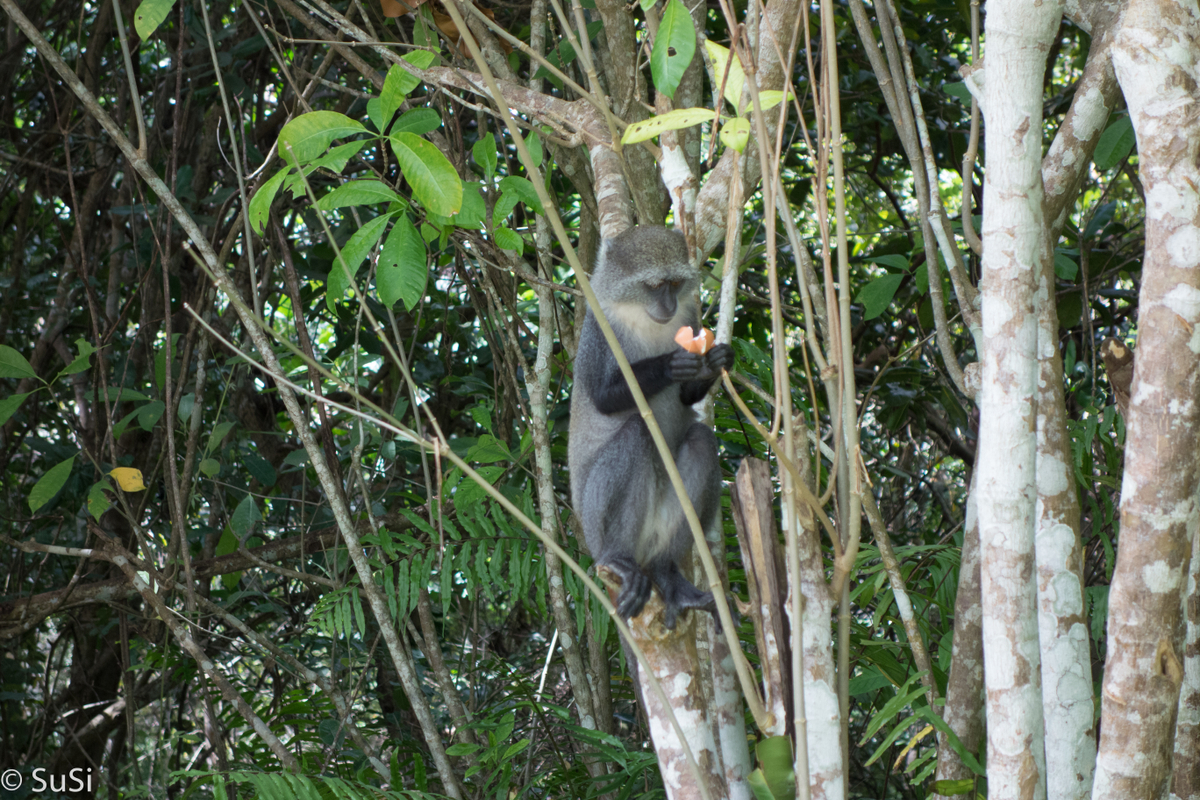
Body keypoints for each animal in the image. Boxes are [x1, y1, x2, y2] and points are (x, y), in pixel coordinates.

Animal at [568, 225, 735, 630]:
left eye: (674, 284)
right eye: (656, 285)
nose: (669, 305)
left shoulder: (690, 313)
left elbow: (689, 400)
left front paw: (716, 360)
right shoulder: (598, 328)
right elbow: (602, 398)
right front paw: (671, 365)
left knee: (700, 439)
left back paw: (666, 573)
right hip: (595, 523)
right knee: (635, 434)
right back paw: (619, 560)